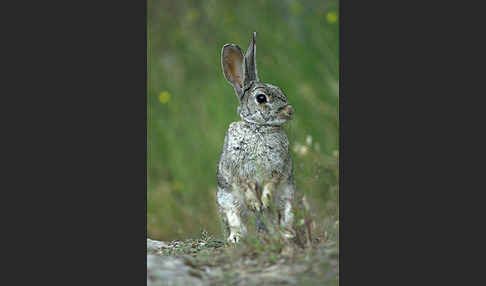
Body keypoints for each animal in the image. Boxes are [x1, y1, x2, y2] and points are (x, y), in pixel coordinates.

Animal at [217, 32, 300, 244]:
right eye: (261, 98)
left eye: (281, 91)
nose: (290, 111)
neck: (259, 128)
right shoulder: (239, 171)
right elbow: (246, 186)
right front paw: (256, 205)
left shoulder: (277, 168)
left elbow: (270, 184)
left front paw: (264, 201)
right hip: (228, 201)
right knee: (237, 221)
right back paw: (237, 237)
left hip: (288, 199)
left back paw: (284, 234)